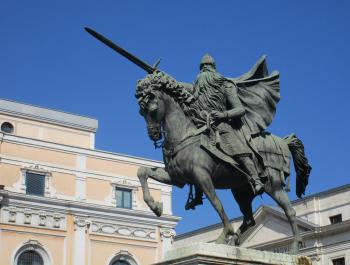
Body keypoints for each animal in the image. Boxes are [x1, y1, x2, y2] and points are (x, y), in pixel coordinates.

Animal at [135, 71, 312, 253]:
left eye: (153, 110)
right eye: (141, 112)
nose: (154, 135)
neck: (184, 134)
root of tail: (283, 141)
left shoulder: (202, 176)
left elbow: (216, 203)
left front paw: (224, 234)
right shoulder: (177, 178)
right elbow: (142, 171)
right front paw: (155, 206)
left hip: (273, 185)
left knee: (289, 212)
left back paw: (295, 247)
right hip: (241, 191)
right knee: (249, 219)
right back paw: (234, 243)